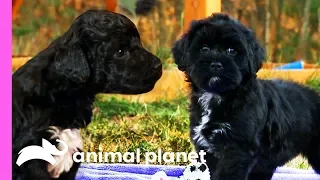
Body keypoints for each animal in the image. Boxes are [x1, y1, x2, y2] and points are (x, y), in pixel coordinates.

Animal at [171, 13, 320, 180]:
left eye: (231, 50)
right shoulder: (207, 148)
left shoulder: (237, 148)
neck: (220, 96)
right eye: (204, 48)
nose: (216, 64)